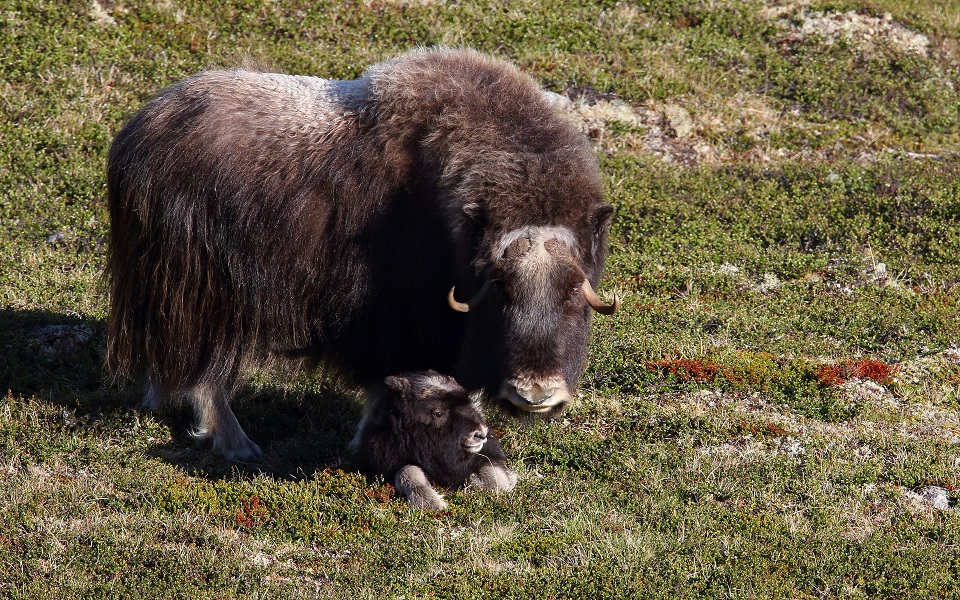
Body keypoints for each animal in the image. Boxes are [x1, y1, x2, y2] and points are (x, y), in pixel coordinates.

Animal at [352, 372, 516, 508]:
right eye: (438, 413)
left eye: (466, 403)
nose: (481, 434)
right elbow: (406, 471)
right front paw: (434, 503)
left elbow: (492, 473)